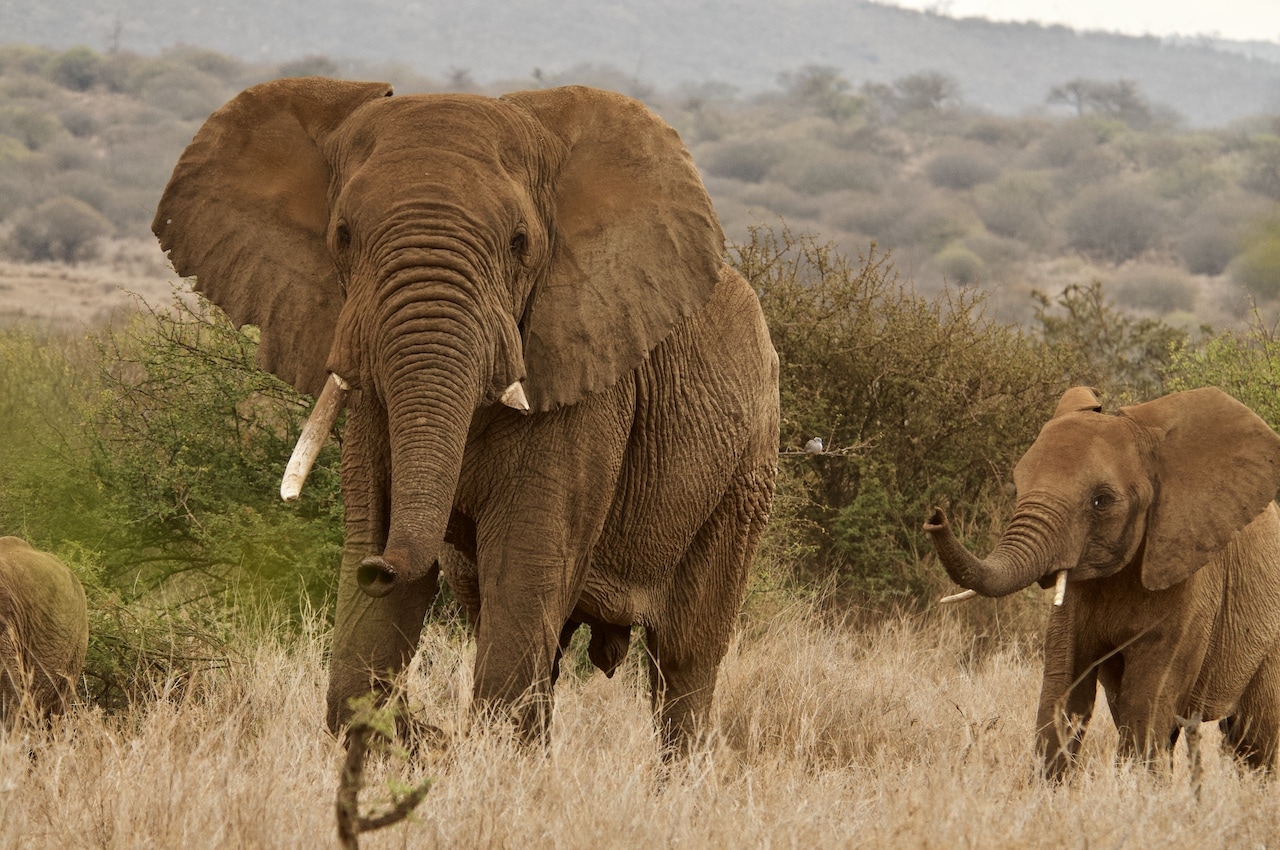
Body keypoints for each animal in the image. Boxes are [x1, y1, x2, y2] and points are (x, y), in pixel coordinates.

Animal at [157, 76, 778, 747]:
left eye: (519, 244)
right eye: (342, 235)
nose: (375, 569)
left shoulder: (589, 383)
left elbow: (525, 567)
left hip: (747, 473)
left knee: (684, 656)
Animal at [926, 389, 1280, 778]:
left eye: (1101, 501)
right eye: (1018, 487)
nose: (935, 517)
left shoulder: (1192, 580)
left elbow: (1148, 693)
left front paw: (1137, 787)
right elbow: (1063, 683)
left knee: (1255, 738)